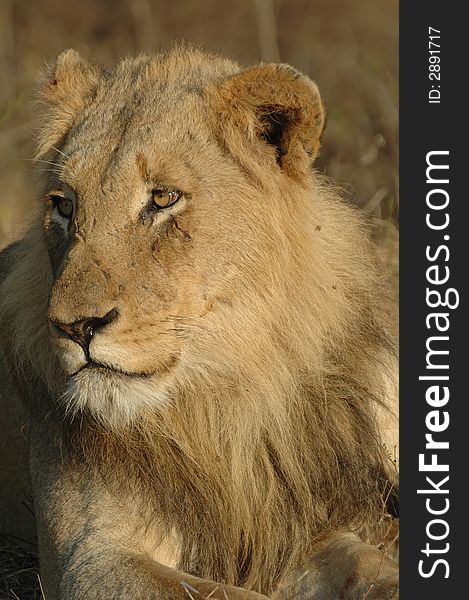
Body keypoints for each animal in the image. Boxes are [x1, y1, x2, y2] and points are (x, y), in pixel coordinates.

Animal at [0, 47, 394, 600]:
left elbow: (366, 563)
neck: (216, 402)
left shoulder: (297, 525)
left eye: (163, 199)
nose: (74, 327)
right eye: (64, 206)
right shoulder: (90, 558)